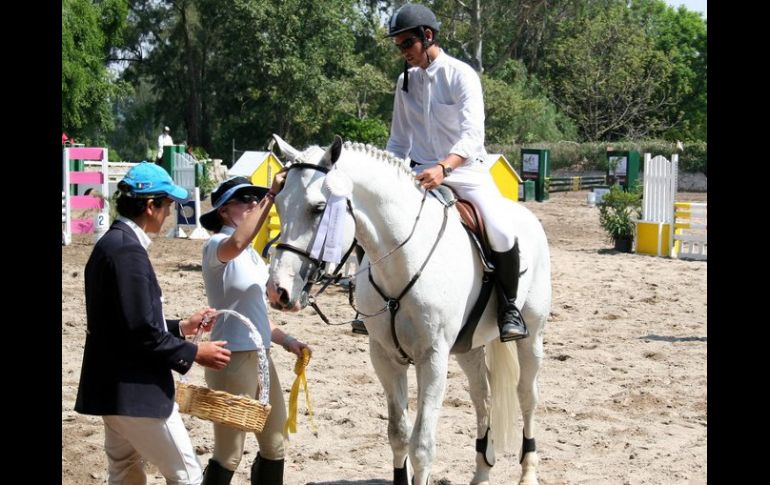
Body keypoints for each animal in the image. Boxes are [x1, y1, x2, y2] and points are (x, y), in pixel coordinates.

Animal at [268, 133, 548, 484]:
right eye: (278, 204)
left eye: (318, 208)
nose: (278, 291)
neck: (404, 259)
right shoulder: (385, 357)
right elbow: (398, 435)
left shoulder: (432, 359)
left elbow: (422, 446)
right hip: (468, 347)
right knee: (482, 397)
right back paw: (482, 473)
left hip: (531, 336)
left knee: (527, 396)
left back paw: (528, 473)